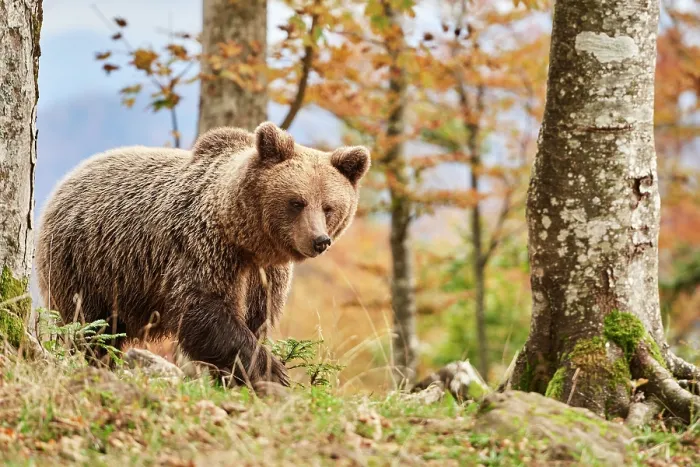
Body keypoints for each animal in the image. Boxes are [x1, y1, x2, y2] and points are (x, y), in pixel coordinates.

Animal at [34, 122, 371, 387]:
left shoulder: (266, 275)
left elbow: (256, 318)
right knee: (90, 326)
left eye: (329, 207)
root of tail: (70, 177)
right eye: (297, 201)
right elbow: (204, 311)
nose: (319, 240)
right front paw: (272, 370)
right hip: (87, 262)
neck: (245, 238)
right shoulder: (202, 248)